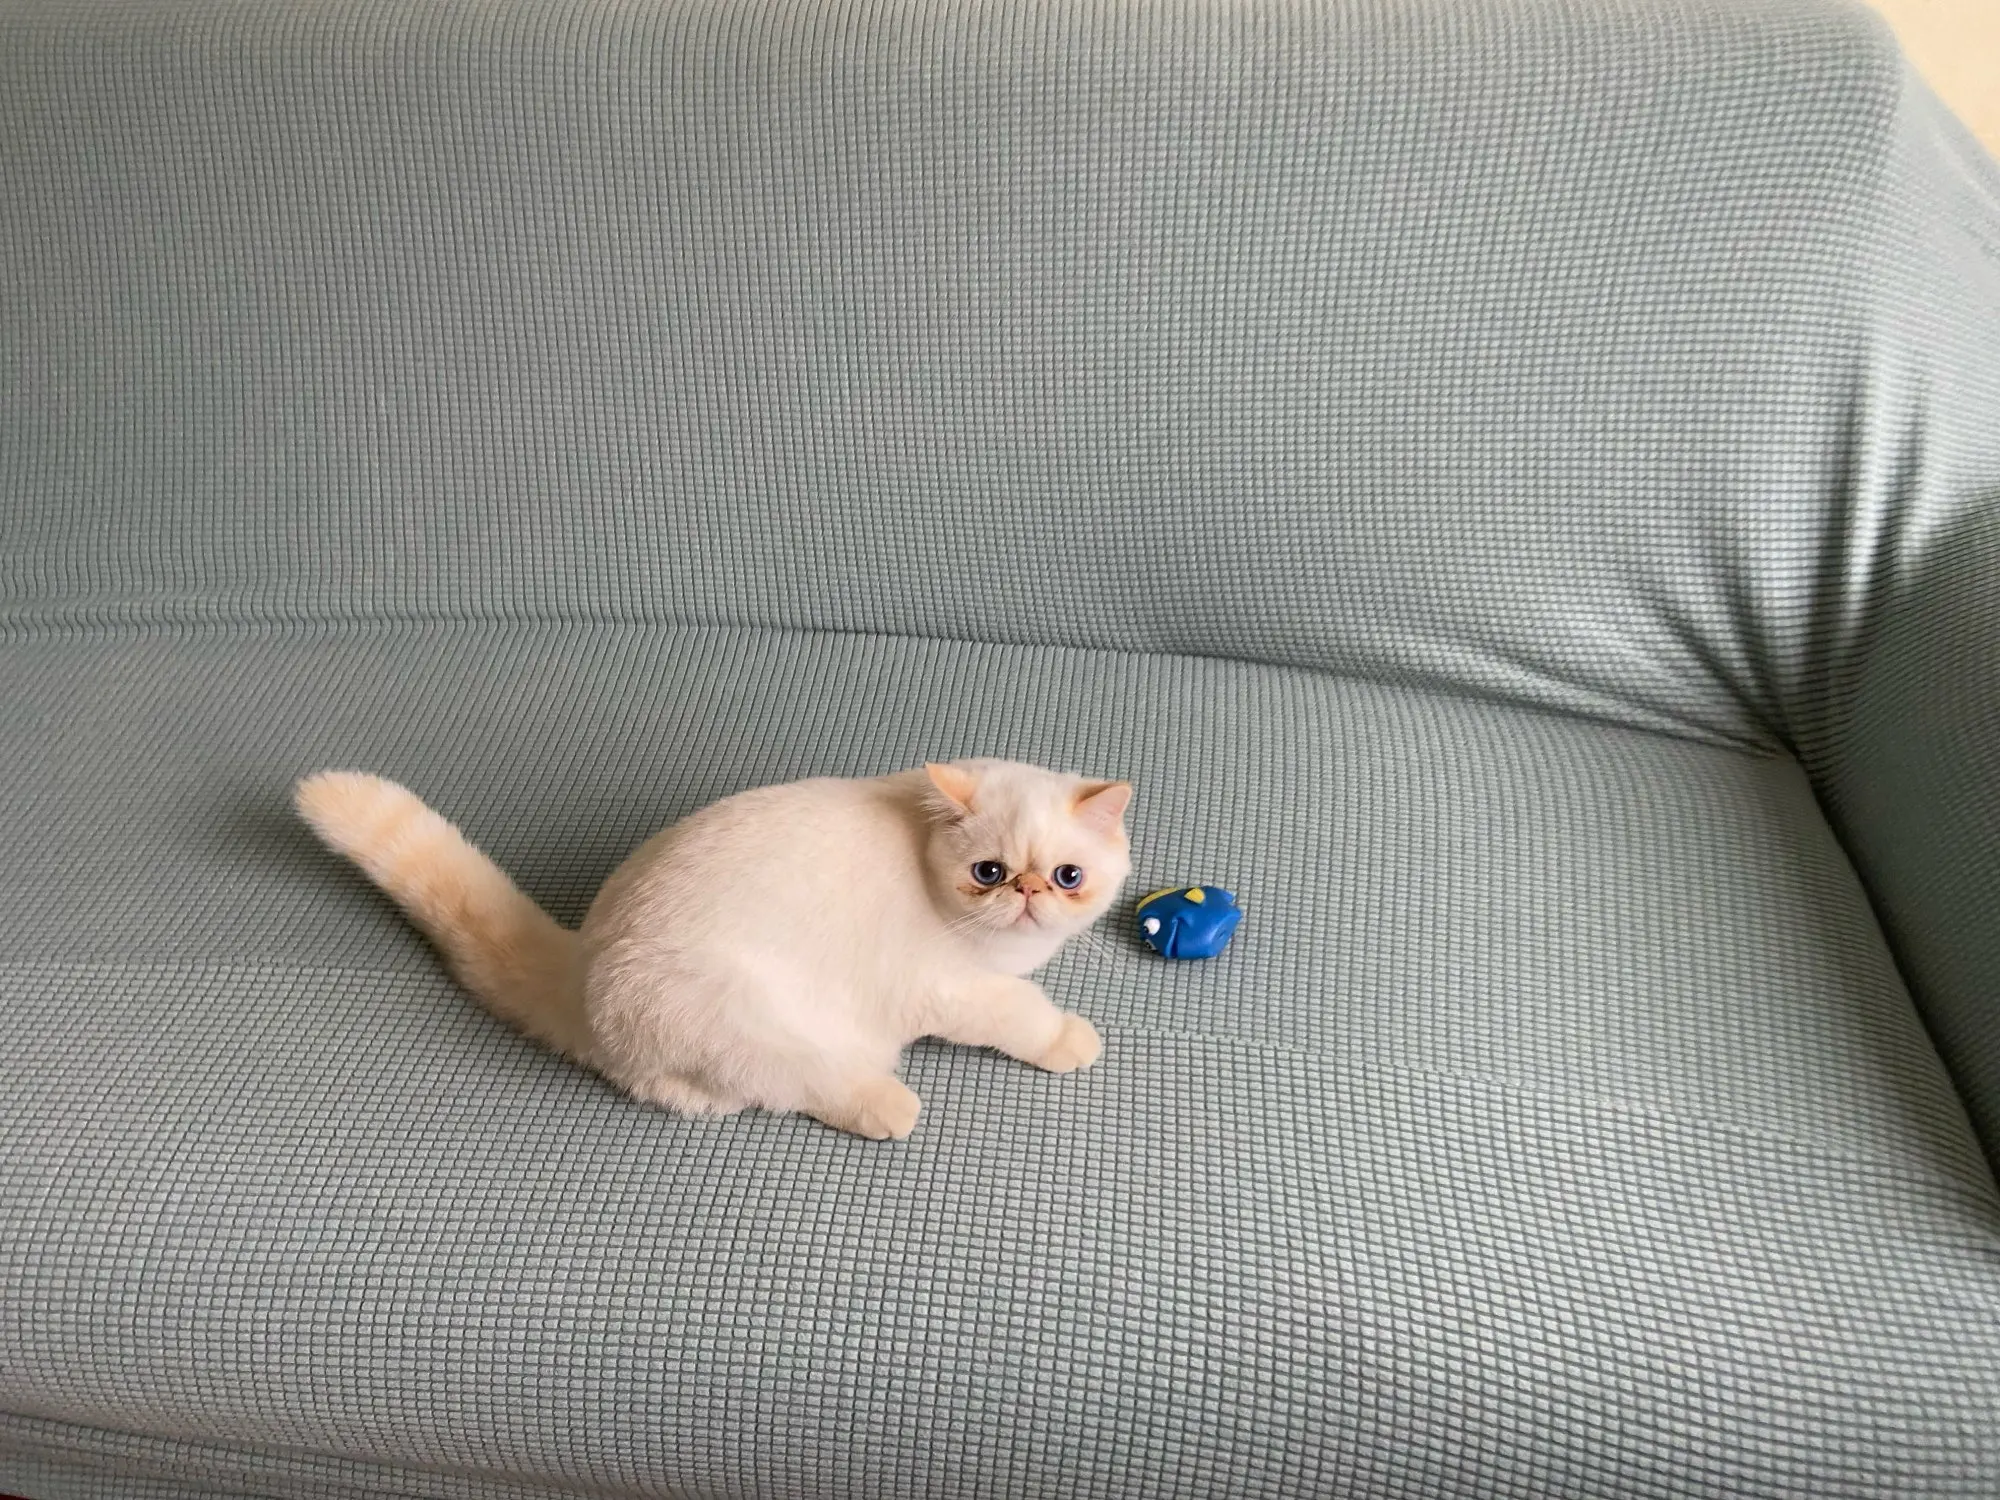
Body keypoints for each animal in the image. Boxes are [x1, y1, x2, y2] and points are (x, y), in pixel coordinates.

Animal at [294, 759, 1132, 1139]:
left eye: (1068, 877)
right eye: (988, 873)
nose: (1027, 892)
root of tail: (580, 964)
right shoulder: (951, 988)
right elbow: (1020, 1013)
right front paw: (1069, 1039)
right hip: (746, 1022)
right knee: (791, 1084)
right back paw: (884, 1104)